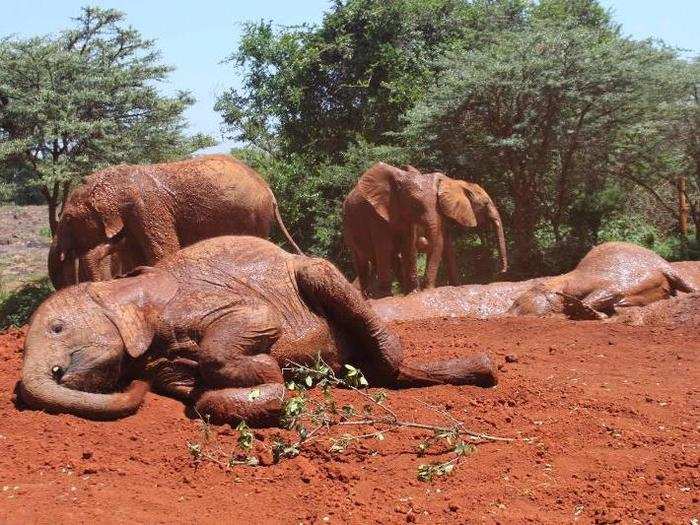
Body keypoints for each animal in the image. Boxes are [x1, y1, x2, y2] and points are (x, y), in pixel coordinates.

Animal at [17, 235, 498, 424]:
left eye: (57, 328)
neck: (123, 289)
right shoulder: (160, 360)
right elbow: (190, 389)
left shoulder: (191, 306)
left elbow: (255, 321)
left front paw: (269, 373)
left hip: (318, 275)